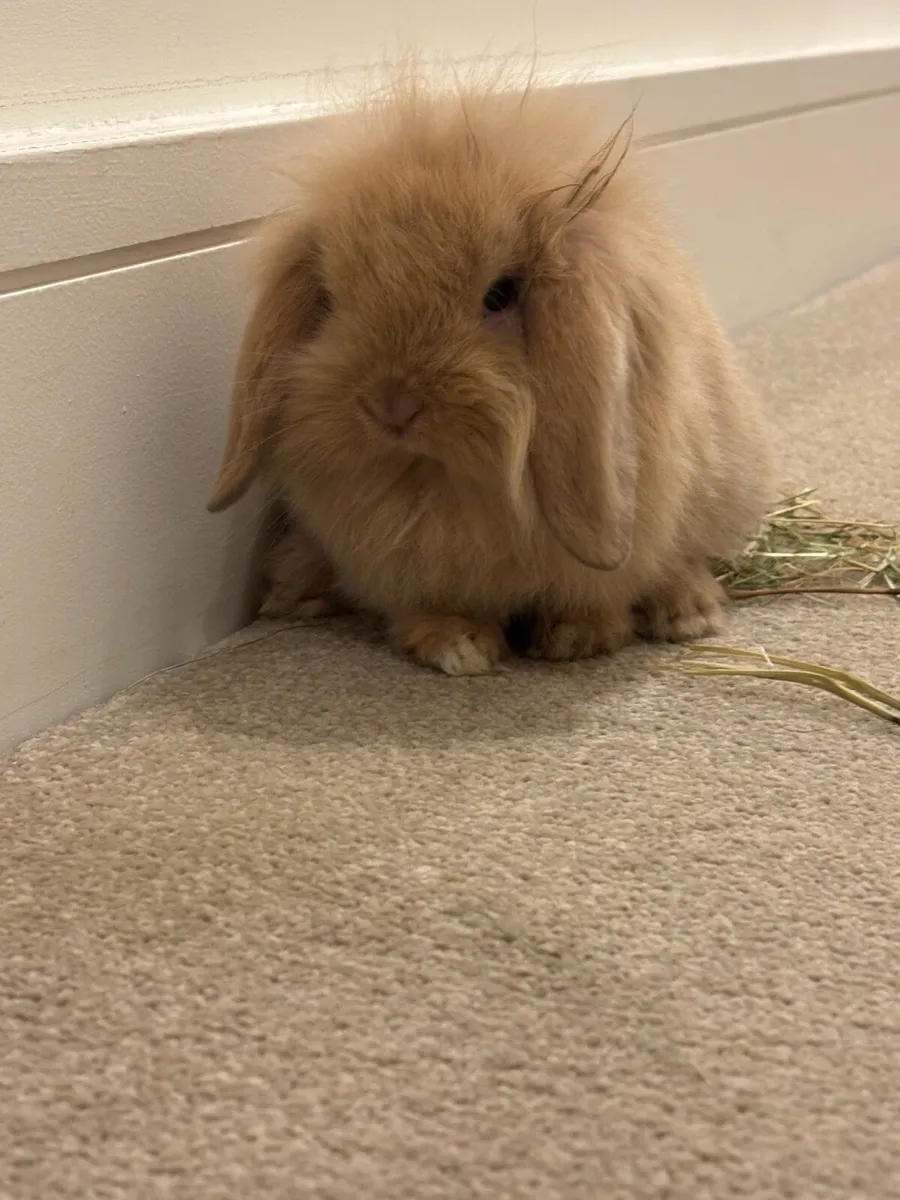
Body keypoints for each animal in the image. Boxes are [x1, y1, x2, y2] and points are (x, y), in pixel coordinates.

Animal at [207, 74, 772, 675]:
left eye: (501, 294)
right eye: (333, 300)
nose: (391, 406)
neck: (441, 481)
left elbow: (595, 593)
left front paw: (574, 638)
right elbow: (437, 604)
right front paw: (460, 649)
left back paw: (688, 614)